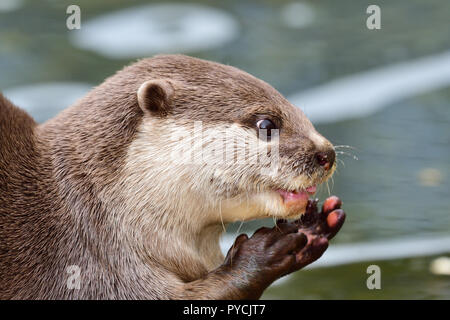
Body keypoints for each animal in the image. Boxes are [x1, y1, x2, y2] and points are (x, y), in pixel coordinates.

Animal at [0, 55, 346, 300]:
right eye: (266, 124)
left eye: (301, 113)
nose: (326, 154)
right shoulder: (89, 273)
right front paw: (266, 252)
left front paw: (313, 226)